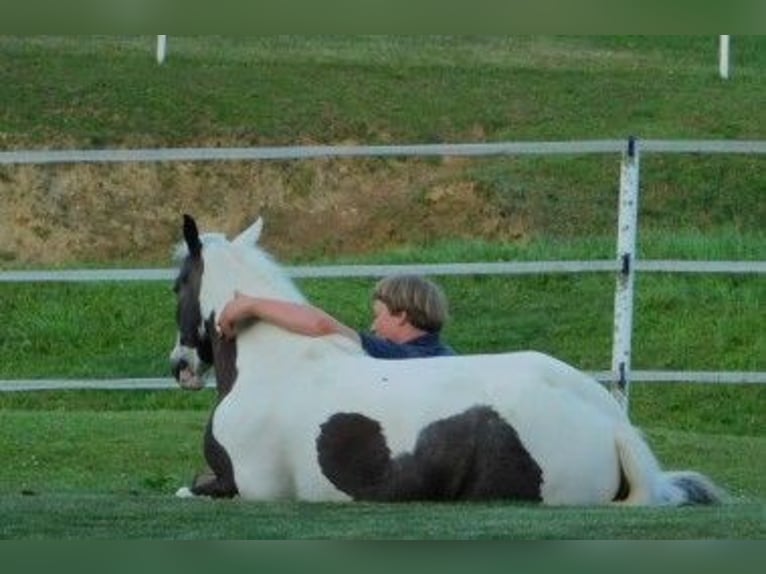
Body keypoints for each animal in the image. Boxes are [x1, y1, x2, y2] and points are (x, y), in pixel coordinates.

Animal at [168, 216, 728, 508]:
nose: (180, 365)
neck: (277, 364)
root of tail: (612, 425)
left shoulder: (248, 487)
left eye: (177, 285)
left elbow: (187, 487)